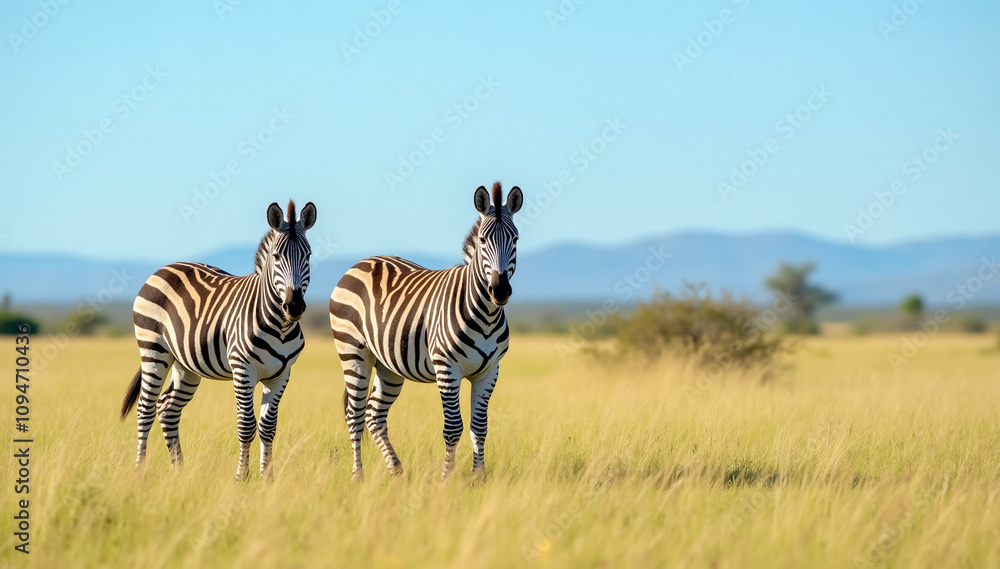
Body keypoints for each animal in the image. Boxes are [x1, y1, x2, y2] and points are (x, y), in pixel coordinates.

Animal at [120, 200, 317, 480]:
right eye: (277, 257)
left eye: (308, 256)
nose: (295, 306)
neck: (280, 324)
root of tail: (164, 268)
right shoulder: (242, 370)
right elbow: (246, 425)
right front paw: (241, 478)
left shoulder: (281, 374)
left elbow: (268, 427)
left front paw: (267, 478)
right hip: (154, 350)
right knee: (145, 408)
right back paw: (140, 472)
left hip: (186, 364)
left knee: (167, 408)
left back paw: (178, 470)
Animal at [330, 182, 522, 480]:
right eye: (482, 241)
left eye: (515, 239)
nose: (500, 290)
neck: (487, 316)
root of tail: (361, 263)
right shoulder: (447, 368)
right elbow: (453, 427)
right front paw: (447, 479)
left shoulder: (489, 372)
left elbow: (480, 426)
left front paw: (479, 477)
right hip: (353, 353)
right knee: (355, 415)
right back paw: (357, 475)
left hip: (389, 366)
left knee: (374, 414)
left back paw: (396, 470)